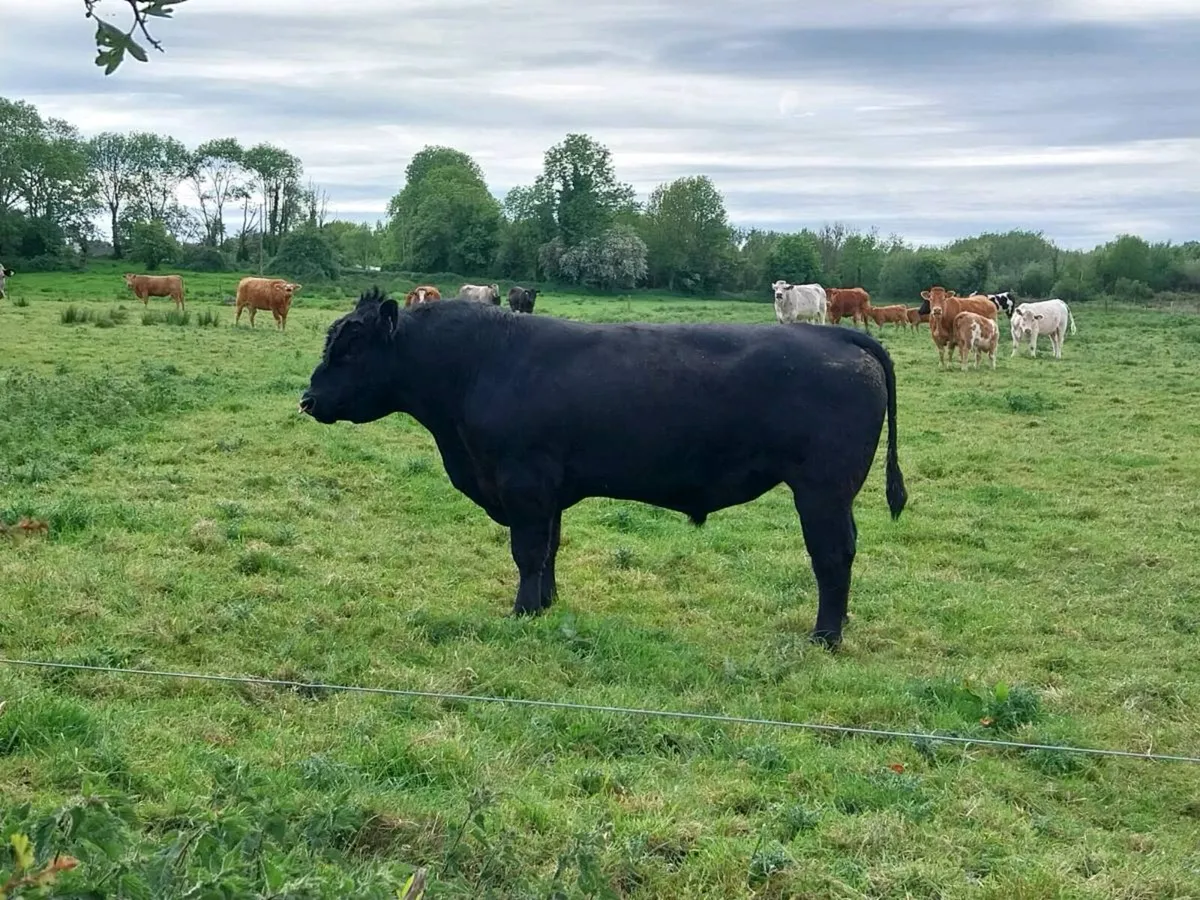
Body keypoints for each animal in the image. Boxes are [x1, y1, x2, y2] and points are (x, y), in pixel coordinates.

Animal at [300, 287, 907, 650]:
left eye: (349, 349)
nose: (308, 399)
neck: (478, 366)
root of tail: (833, 333)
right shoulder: (548, 492)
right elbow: (549, 549)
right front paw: (544, 605)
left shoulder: (524, 483)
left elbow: (527, 551)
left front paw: (521, 613)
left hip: (822, 490)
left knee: (832, 555)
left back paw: (824, 636)